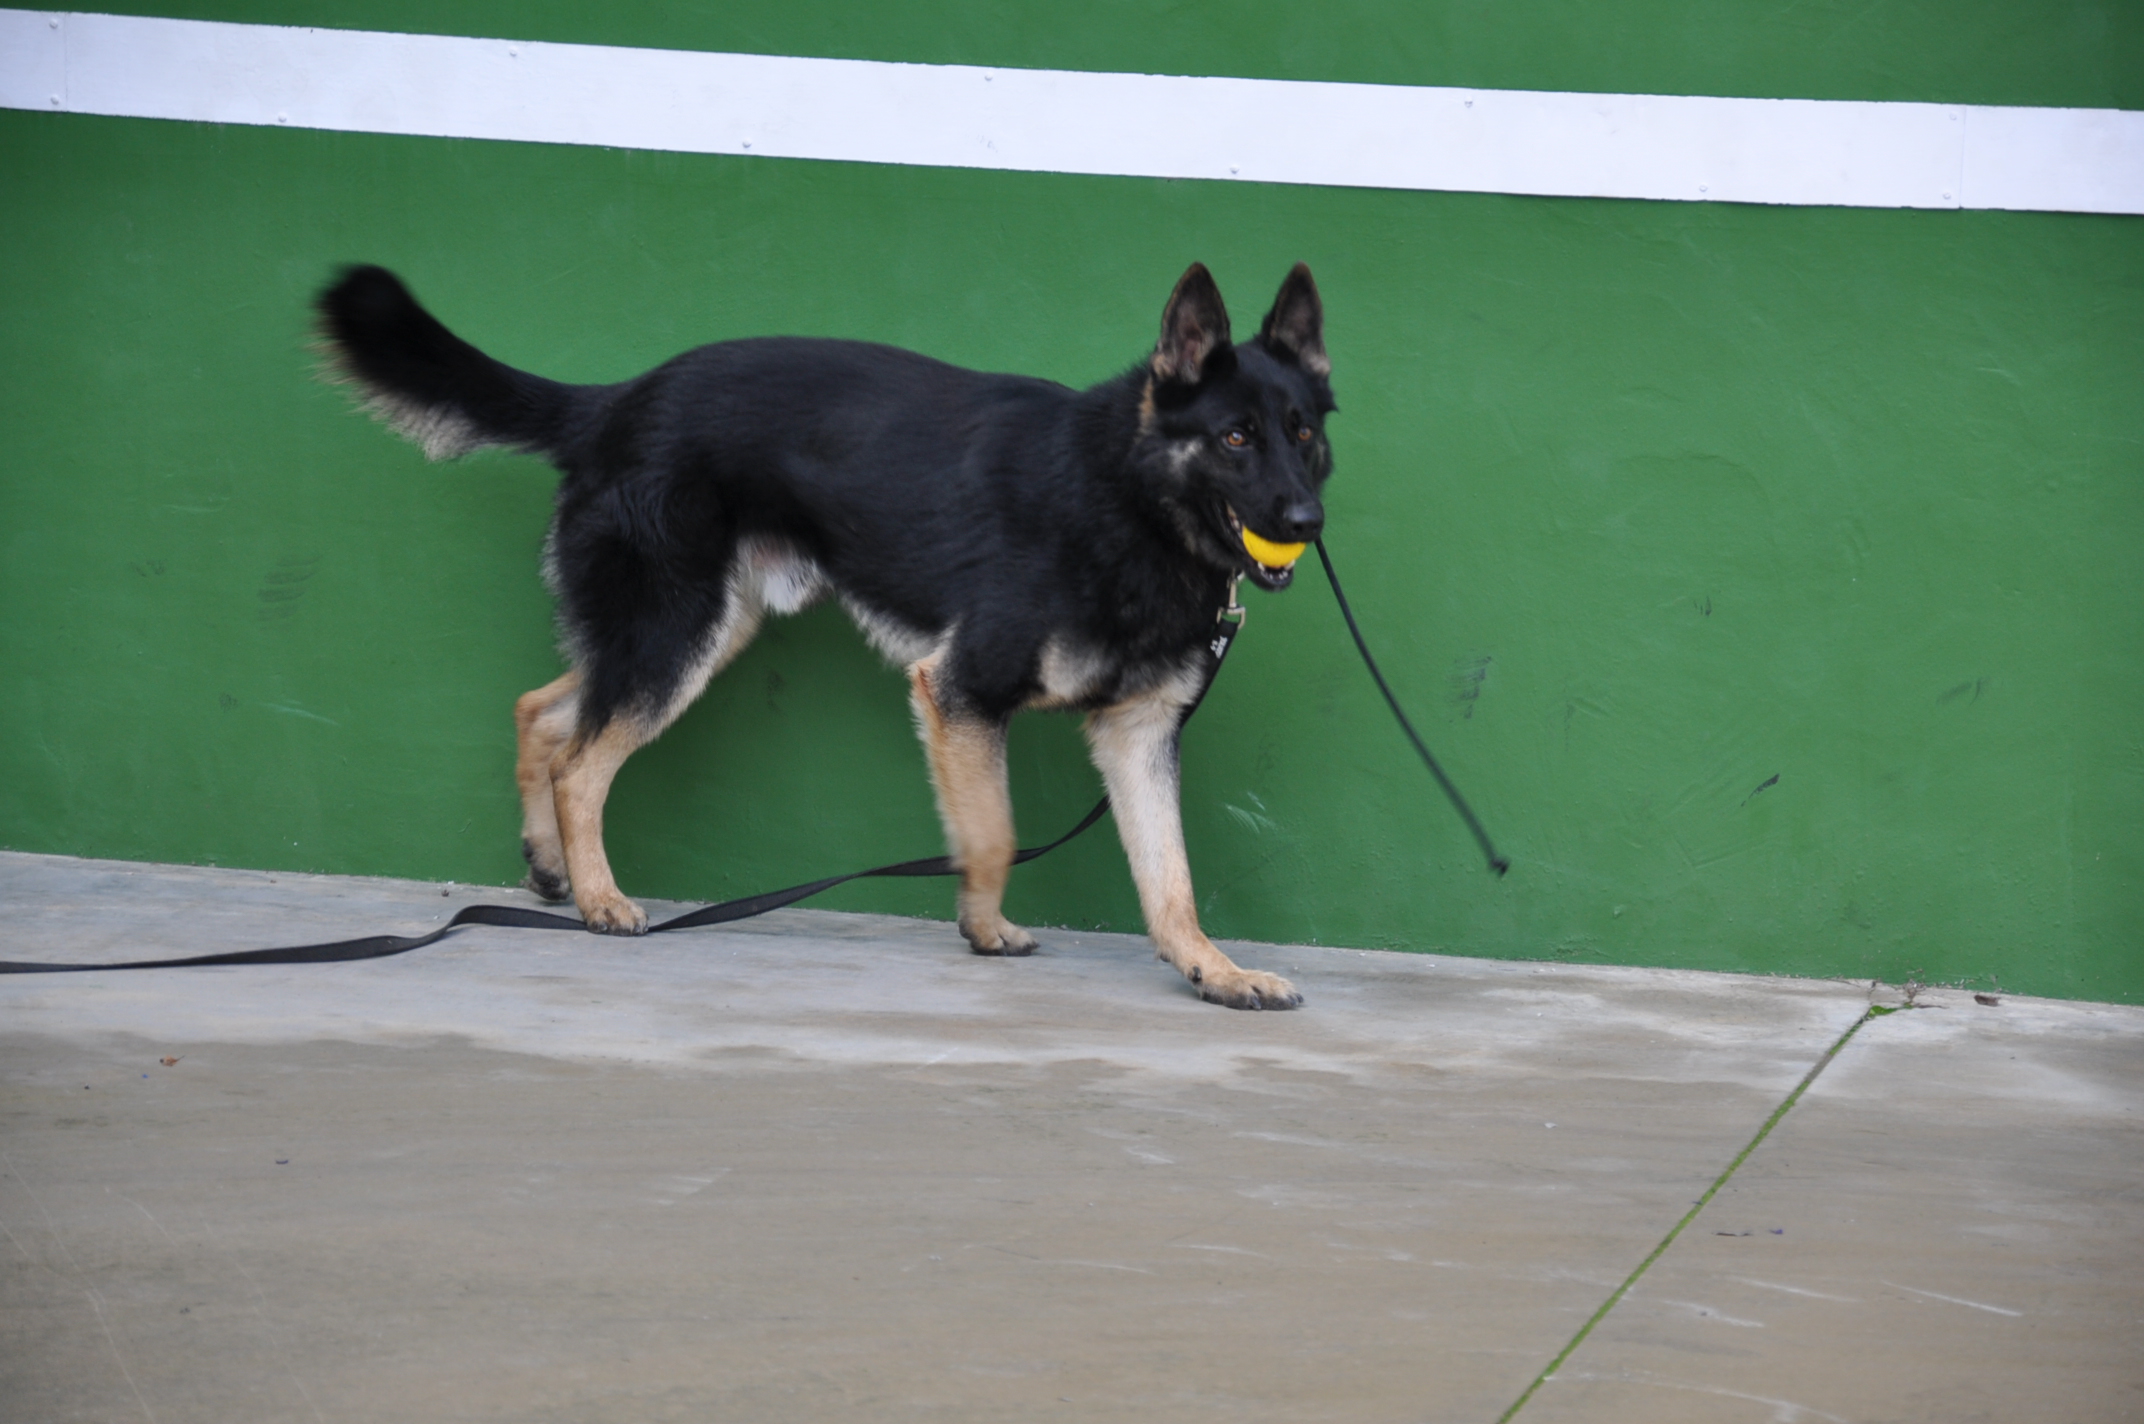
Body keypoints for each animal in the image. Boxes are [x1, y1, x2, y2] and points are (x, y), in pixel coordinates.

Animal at [313, 261, 1329, 1007]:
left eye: (1304, 434)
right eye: (1235, 438)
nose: (1307, 520)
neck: (1125, 497)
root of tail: (615, 401)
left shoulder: (1137, 736)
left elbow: (1170, 876)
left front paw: (1212, 970)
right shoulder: (959, 691)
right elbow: (995, 832)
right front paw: (982, 925)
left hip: (689, 636)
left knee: (545, 712)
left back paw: (551, 867)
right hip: (674, 641)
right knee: (580, 761)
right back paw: (602, 899)